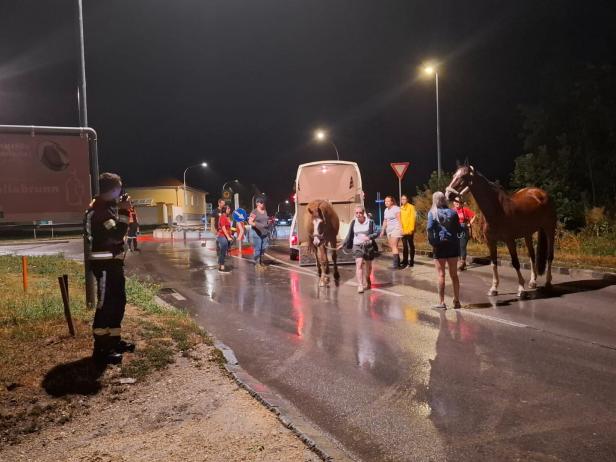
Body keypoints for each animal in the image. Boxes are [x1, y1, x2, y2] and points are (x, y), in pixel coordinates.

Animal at [448, 164, 560, 298]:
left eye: (463, 177)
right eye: (454, 175)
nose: (448, 194)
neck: (497, 209)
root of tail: (541, 193)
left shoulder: (509, 240)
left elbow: (515, 262)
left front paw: (521, 289)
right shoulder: (491, 242)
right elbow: (494, 263)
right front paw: (493, 288)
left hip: (549, 229)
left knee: (550, 256)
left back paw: (548, 282)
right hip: (528, 234)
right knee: (532, 256)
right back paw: (533, 282)